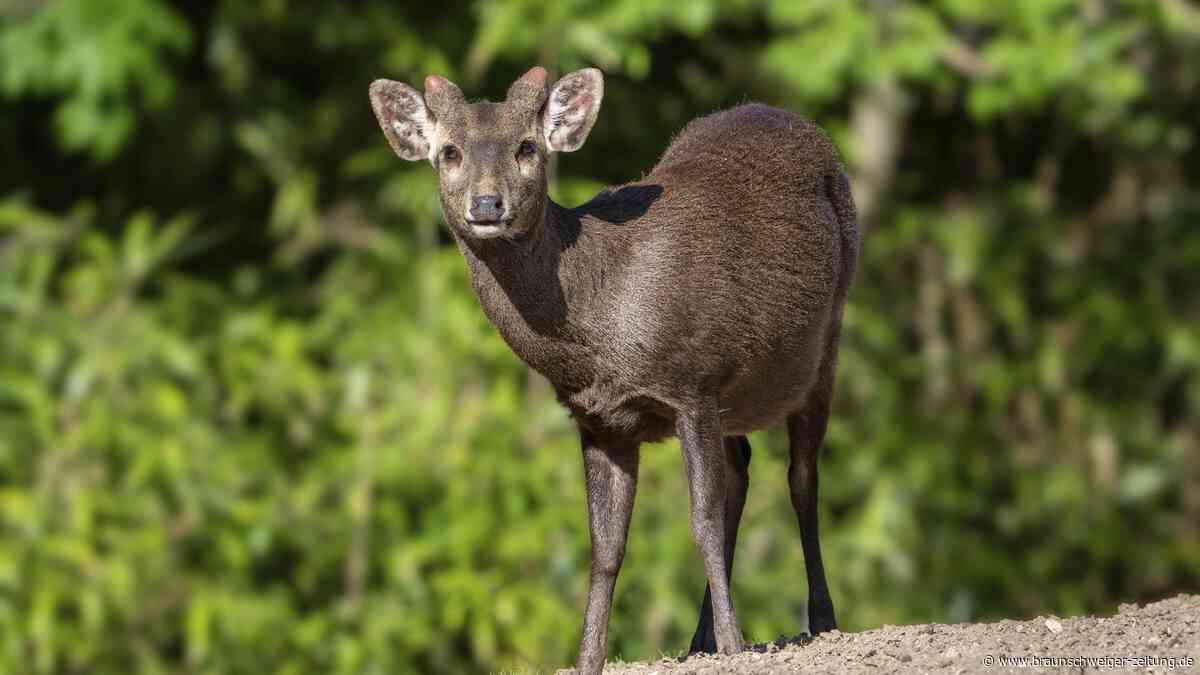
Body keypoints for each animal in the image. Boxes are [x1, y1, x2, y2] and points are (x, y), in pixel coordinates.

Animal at [369, 65, 859, 674]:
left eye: (526, 147)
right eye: (450, 151)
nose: (486, 204)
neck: (601, 330)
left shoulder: (692, 382)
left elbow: (701, 519)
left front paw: (736, 644)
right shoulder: (599, 418)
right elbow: (605, 546)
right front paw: (589, 658)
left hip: (828, 337)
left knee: (802, 477)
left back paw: (820, 619)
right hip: (738, 395)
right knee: (743, 469)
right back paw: (698, 639)